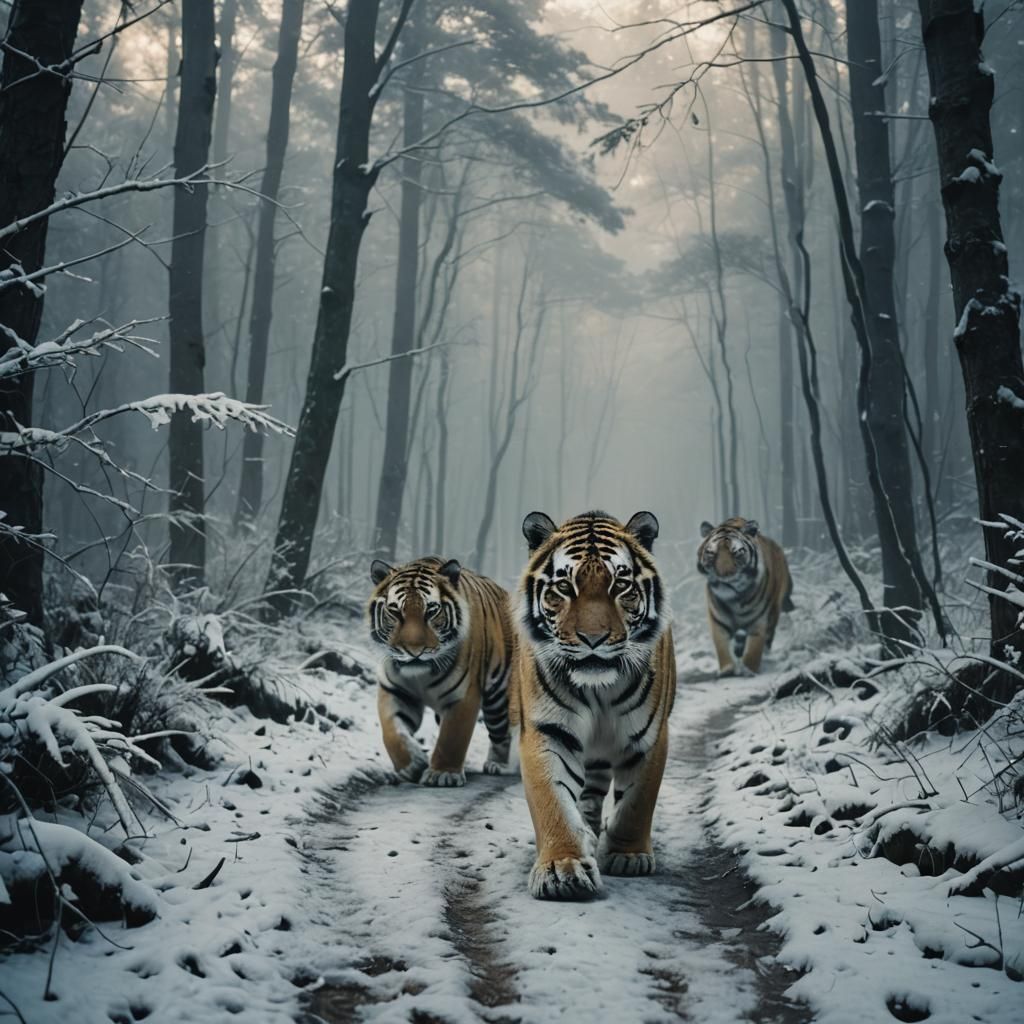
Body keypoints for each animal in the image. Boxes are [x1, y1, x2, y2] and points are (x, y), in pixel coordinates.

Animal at [367, 557, 515, 786]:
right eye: (395, 612)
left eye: (431, 611)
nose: (414, 651)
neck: (421, 675)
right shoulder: (394, 691)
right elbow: (392, 732)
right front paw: (413, 764)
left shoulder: (464, 696)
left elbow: (452, 737)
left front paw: (442, 774)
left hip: (498, 699)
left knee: (502, 732)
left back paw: (497, 765)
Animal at [510, 510, 676, 901]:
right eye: (564, 587)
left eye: (620, 585)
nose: (593, 639)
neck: (597, 690)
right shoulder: (547, 732)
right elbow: (553, 801)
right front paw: (562, 870)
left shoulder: (650, 737)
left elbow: (637, 801)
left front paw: (628, 856)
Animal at [697, 516, 793, 677]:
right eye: (712, 553)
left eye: (737, 553)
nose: (724, 576)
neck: (734, 599)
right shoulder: (718, 620)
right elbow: (721, 645)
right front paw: (727, 669)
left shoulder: (759, 622)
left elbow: (754, 648)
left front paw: (749, 670)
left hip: (774, 612)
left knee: (768, 637)